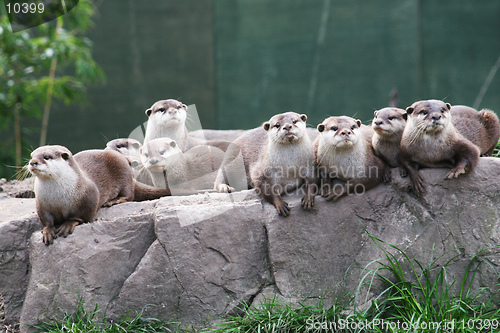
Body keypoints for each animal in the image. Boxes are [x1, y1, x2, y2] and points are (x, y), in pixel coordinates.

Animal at [28, 145, 193, 244]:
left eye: (46, 157)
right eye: (32, 155)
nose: (32, 162)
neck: (58, 196)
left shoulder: (89, 197)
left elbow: (81, 216)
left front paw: (68, 224)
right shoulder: (42, 203)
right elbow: (46, 219)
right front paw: (48, 230)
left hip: (123, 170)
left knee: (129, 195)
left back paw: (114, 200)